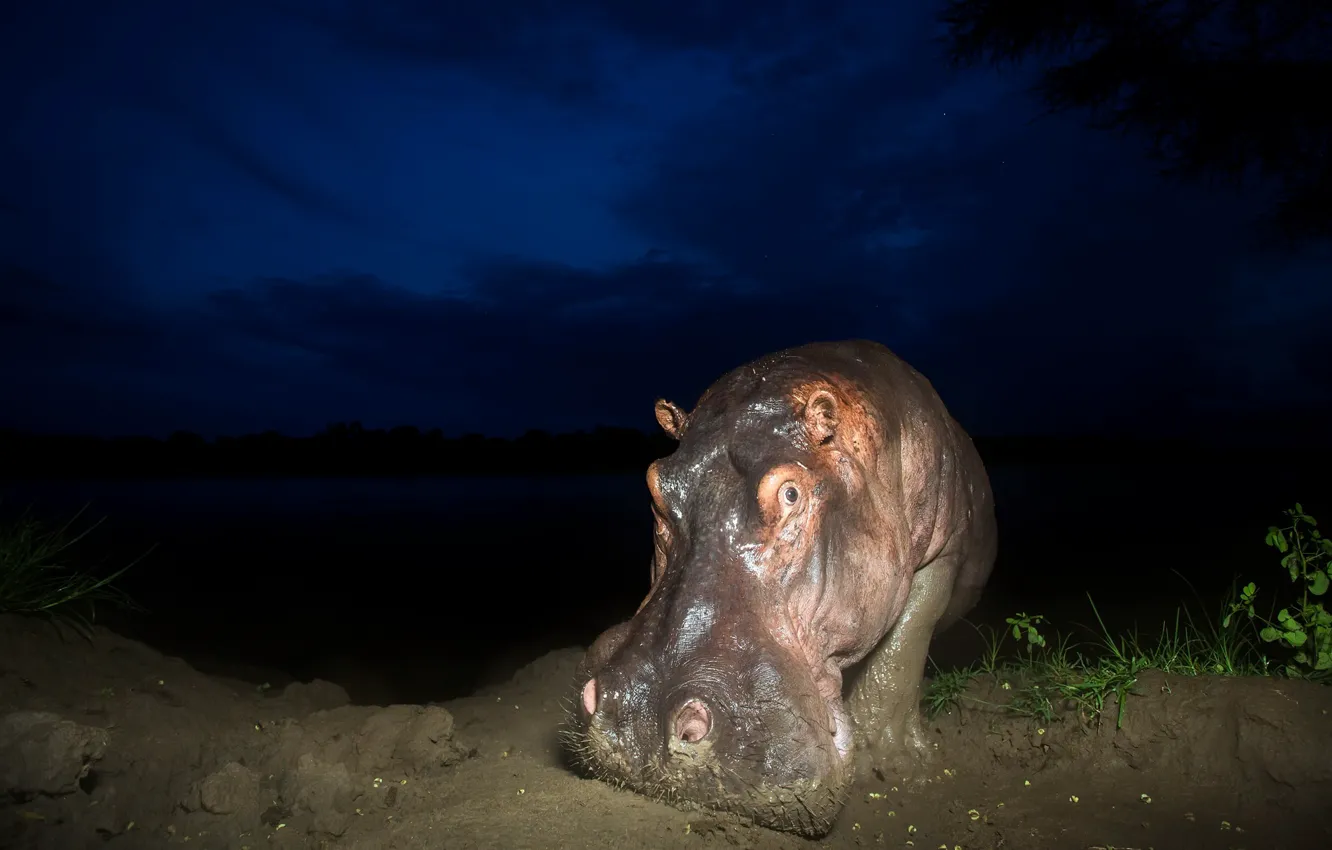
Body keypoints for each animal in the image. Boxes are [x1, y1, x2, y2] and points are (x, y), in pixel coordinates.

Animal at [565, 339, 997, 837]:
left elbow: (900, 651)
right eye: (655, 488)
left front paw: (896, 765)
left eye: (791, 493)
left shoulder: (945, 555)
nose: (642, 720)